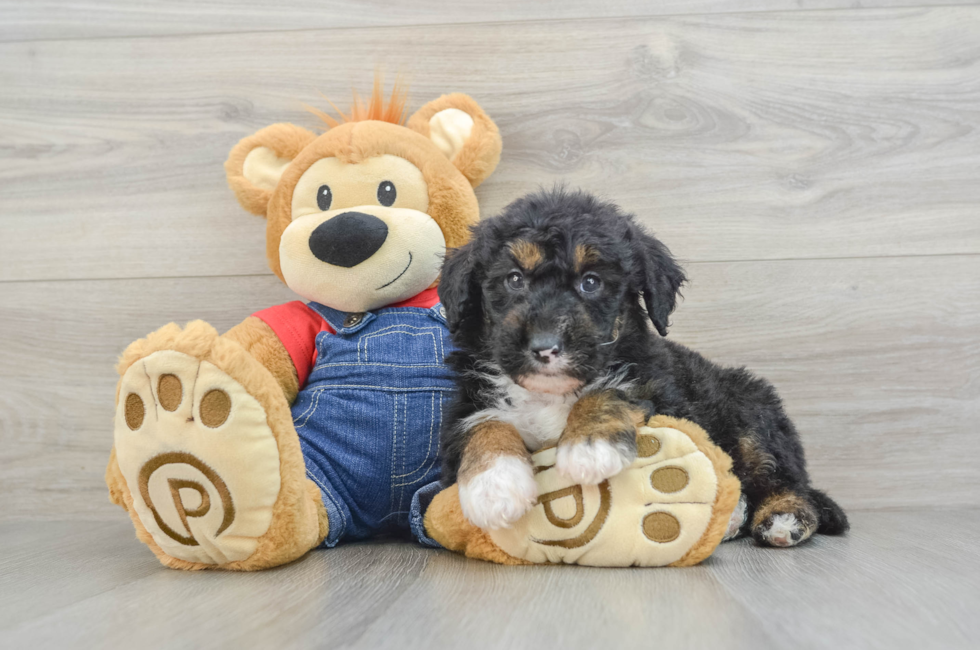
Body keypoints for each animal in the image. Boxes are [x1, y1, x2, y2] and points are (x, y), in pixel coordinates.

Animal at [438, 187, 848, 548]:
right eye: (514, 279)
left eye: (591, 282)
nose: (544, 347)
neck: (550, 394)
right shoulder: (467, 402)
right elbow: (484, 425)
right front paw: (494, 487)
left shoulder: (658, 387)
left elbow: (612, 389)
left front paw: (590, 446)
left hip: (752, 415)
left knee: (783, 478)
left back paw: (783, 518)